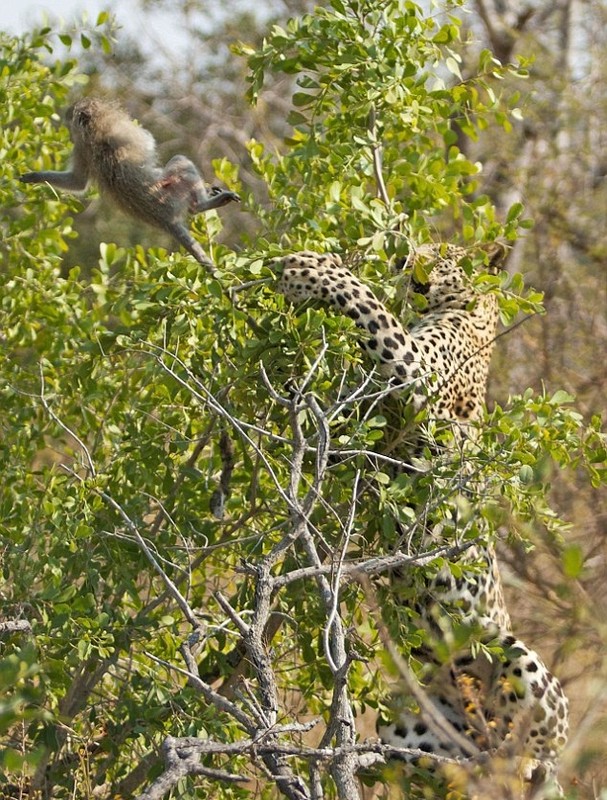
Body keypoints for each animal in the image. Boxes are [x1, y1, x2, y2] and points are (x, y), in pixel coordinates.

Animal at [276, 245, 568, 792]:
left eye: (445, 254)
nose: (406, 256)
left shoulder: (413, 367)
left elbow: (366, 302)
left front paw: (311, 269)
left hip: (515, 655)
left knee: (537, 747)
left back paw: (519, 758)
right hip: (408, 722)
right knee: (451, 760)